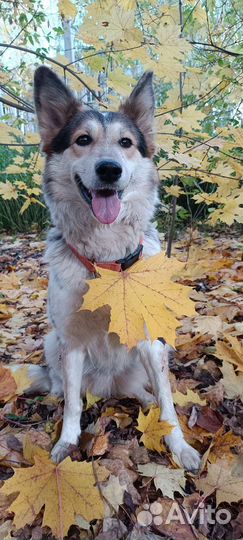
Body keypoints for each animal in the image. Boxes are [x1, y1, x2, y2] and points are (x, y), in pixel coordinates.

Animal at [30, 65, 200, 470]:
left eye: (126, 143)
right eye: (82, 139)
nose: (109, 169)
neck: (108, 263)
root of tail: (109, 388)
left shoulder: (151, 340)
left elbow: (169, 405)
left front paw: (179, 445)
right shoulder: (72, 341)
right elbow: (74, 405)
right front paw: (66, 442)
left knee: (150, 391)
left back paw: (147, 399)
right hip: (52, 341)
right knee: (66, 387)